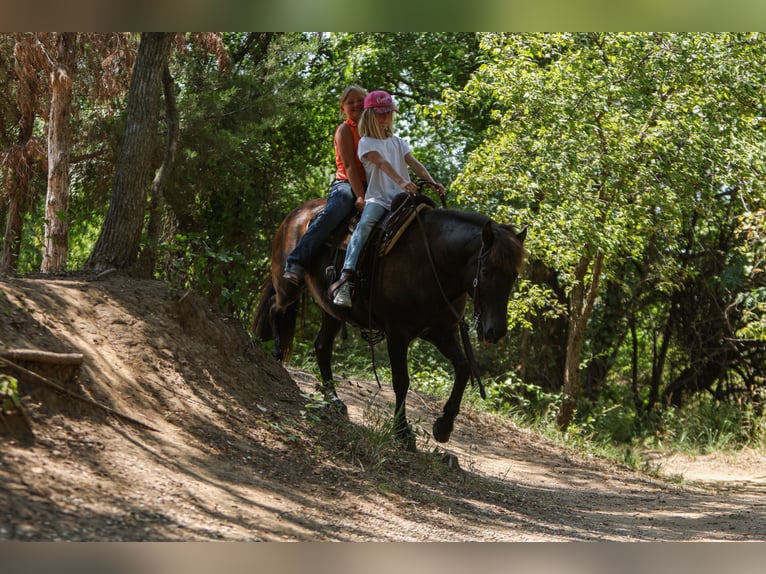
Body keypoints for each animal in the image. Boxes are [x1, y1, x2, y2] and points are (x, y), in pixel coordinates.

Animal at [255, 194, 524, 450]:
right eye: (486, 271)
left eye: (513, 275)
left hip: (331, 310)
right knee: (274, 307)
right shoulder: (398, 333)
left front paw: (444, 426)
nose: (496, 331)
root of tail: (294, 215)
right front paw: (403, 433)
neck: (433, 262)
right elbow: (401, 381)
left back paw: (334, 399)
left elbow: (464, 367)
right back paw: (275, 352)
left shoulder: (441, 332)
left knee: (322, 346)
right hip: (289, 286)